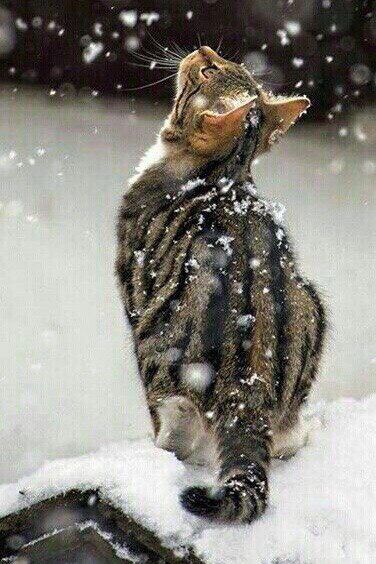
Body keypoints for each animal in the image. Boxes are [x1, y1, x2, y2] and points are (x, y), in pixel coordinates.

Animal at [116, 46, 324, 524]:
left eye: (209, 71)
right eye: (227, 64)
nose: (203, 50)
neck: (225, 172)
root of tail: (248, 388)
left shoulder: (132, 277)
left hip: (158, 349)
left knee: (176, 431)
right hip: (312, 306)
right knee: (284, 439)